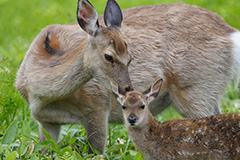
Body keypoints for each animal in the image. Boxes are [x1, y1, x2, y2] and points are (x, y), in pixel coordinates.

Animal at [15, 0, 239, 154]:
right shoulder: (46, 121)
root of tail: (231, 34)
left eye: (130, 57)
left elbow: (96, 153)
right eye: (109, 56)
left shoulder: (96, 107)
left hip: (195, 90)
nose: (127, 89)